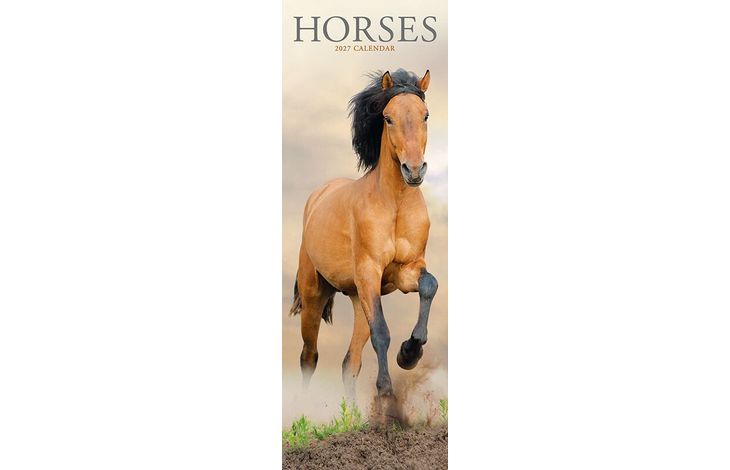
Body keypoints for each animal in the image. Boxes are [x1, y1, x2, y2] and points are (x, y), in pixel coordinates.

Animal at [289, 69, 438, 413]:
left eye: (425, 115)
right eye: (387, 118)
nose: (414, 170)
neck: (395, 204)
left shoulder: (405, 271)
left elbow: (429, 285)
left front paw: (409, 353)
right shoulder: (371, 271)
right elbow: (381, 332)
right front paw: (386, 396)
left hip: (359, 297)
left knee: (349, 362)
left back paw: (354, 415)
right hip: (315, 295)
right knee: (309, 356)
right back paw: (304, 410)